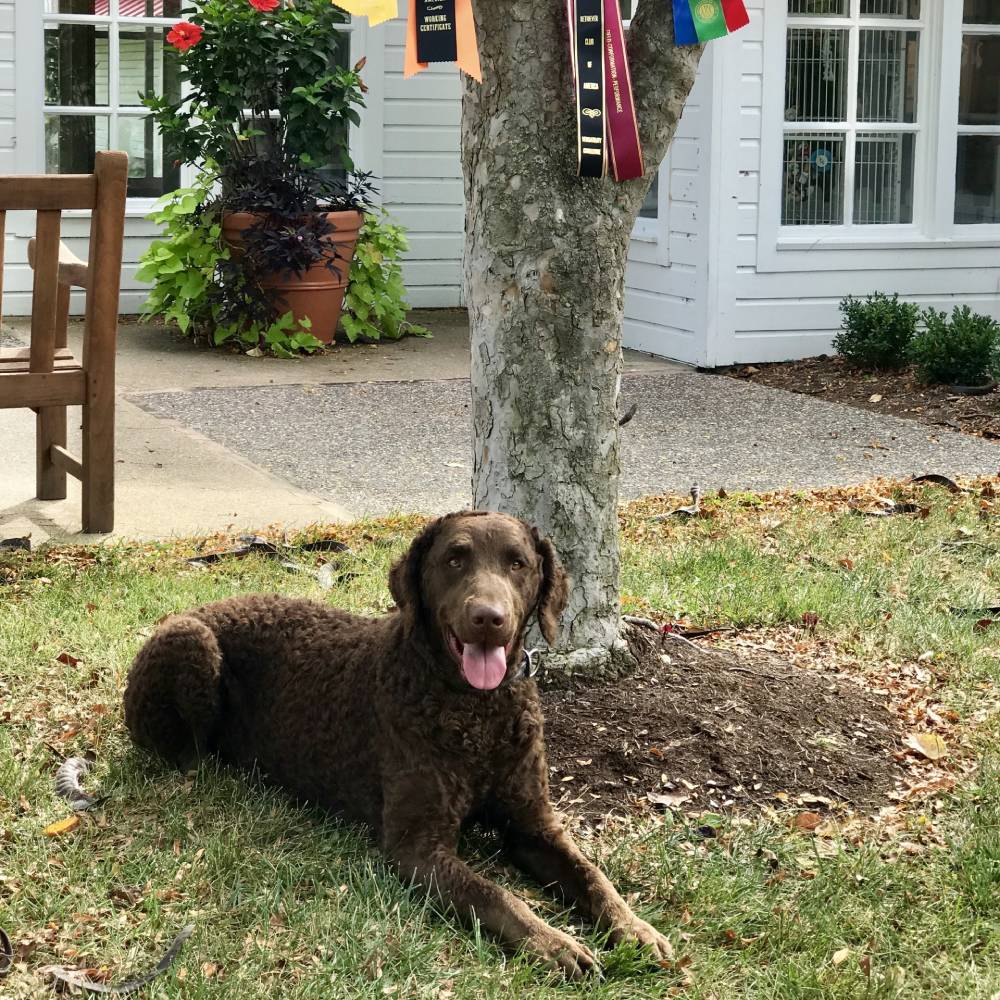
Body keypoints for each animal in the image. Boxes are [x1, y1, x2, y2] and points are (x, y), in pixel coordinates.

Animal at [125, 512, 672, 980]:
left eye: (518, 562)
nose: (488, 617)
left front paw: (635, 929)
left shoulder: (533, 825)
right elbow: (495, 894)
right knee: (187, 754)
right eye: (454, 559)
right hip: (191, 643)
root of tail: (193, 608)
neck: (474, 711)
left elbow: (593, 876)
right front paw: (554, 944)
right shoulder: (416, 848)